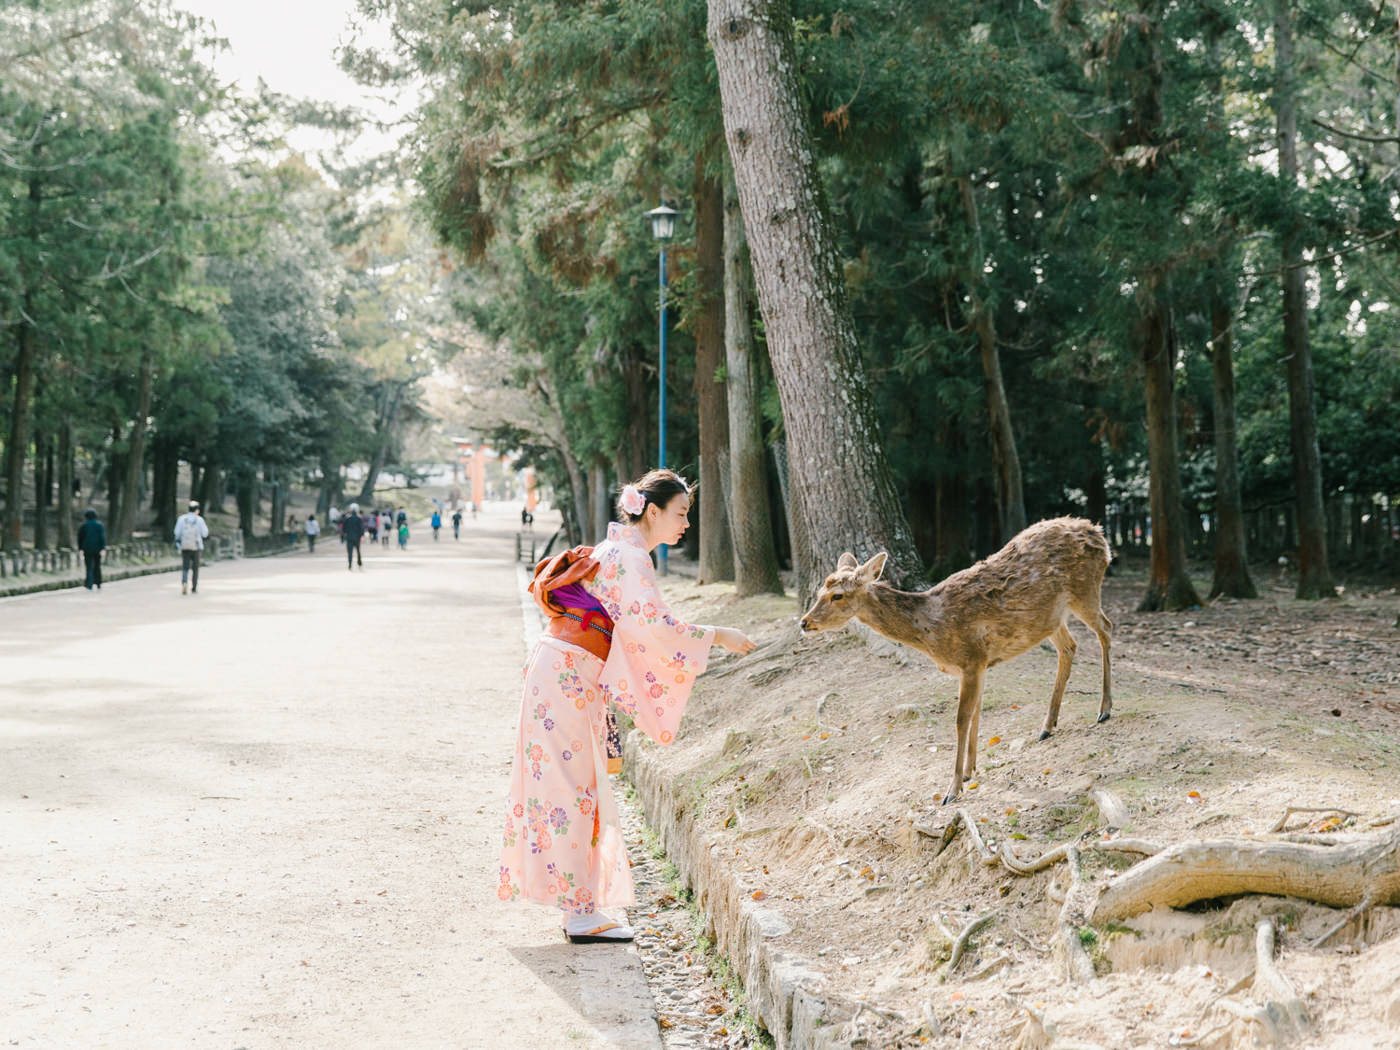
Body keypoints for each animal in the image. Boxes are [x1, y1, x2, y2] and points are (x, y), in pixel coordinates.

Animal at [806, 518, 1108, 806]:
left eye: (838, 595)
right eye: (820, 590)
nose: (804, 622)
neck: (932, 628)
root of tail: (1099, 535)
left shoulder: (971, 659)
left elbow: (961, 719)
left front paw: (952, 790)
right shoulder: (981, 663)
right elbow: (976, 712)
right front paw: (969, 771)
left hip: (1085, 590)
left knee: (1106, 628)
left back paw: (1104, 710)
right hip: (1050, 618)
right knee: (1069, 646)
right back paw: (1047, 726)